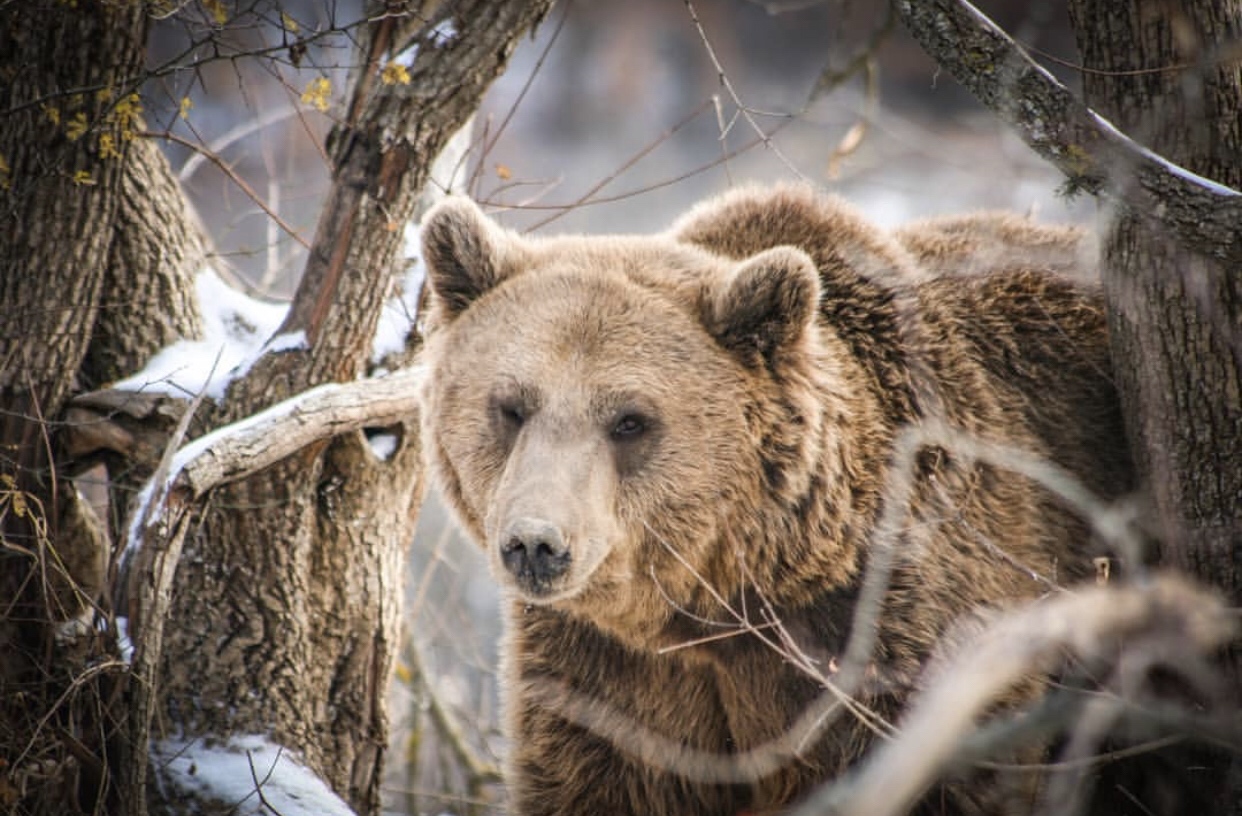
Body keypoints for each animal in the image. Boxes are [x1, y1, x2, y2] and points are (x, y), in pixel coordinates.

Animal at [416, 184, 1133, 815]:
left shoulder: (889, 639)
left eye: (630, 420)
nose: (536, 544)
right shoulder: (609, 681)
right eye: (511, 406)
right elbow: (598, 779)